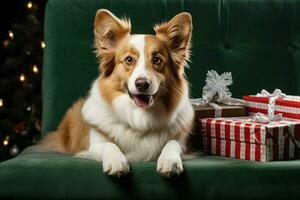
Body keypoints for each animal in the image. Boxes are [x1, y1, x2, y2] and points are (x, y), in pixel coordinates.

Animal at [39, 10, 195, 177]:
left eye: (157, 60)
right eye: (129, 59)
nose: (142, 84)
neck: (139, 117)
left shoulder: (182, 143)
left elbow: (172, 143)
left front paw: (170, 161)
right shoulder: (91, 145)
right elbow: (109, 144)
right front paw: (116, 162)